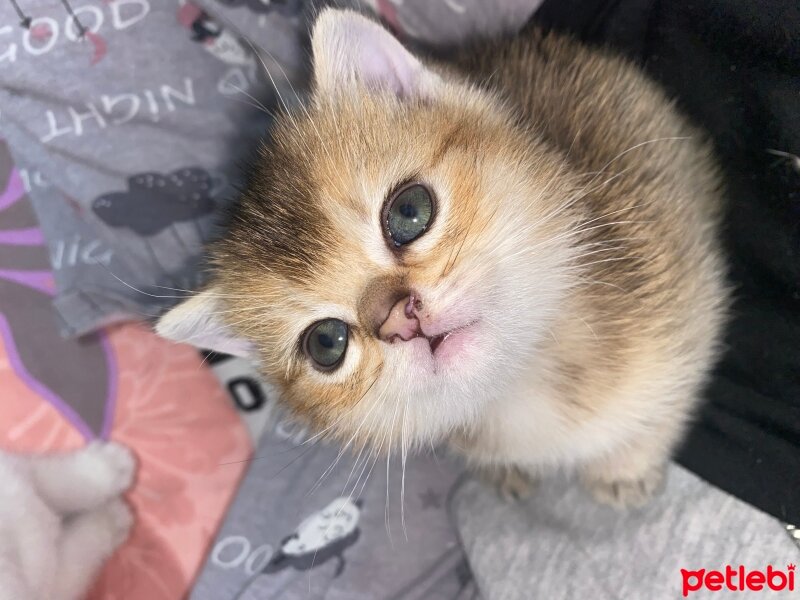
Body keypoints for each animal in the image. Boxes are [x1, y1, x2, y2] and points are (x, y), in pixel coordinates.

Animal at [0, 440, 135, 600]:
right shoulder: (51, 586)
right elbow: (83, 547)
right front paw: (113, 516)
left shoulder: (15, 474)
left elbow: (56, 482)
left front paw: (111, 464)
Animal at [158, 9, 732, 506]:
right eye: (326, 343)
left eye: (409, 211)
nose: (398, 320)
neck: (526, 385)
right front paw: (505, 472)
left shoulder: (689, 307)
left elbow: (667, 404)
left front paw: (625, 469)